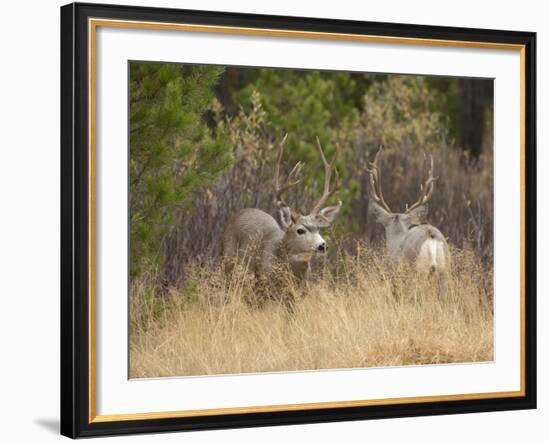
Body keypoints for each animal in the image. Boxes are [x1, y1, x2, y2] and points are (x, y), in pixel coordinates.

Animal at [223, 135, 342, 306]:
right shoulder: (265, 288)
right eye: (300, 230)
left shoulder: (297, 295)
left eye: (318, 229)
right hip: (230, 263)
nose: (322, 245)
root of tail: (240, 212)